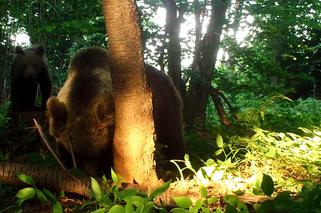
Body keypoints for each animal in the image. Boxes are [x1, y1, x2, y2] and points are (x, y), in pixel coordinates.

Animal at [46, 47, 184, 176]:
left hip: (164, 104)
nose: (93, 175)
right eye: (76, 155)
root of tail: (166, 76)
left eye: (100, 153)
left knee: (172, 137)